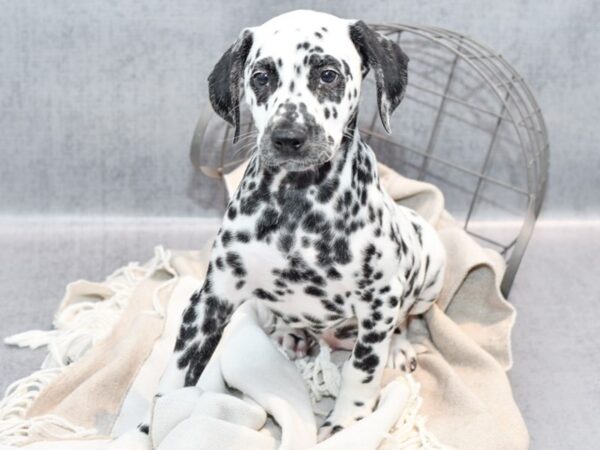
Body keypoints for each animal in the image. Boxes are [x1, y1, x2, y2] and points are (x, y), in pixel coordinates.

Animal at [146, 9, 446, 440]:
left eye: (328, 74)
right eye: (261, 77)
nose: (288, 137)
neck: (299, 208)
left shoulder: (377, 302)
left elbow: (361, 373)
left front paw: (345, 425)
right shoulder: (211, 299)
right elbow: (178, 373)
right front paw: (151, 424)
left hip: (430, 266)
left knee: (405, 319)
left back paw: (399, 346)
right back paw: (292, 334)